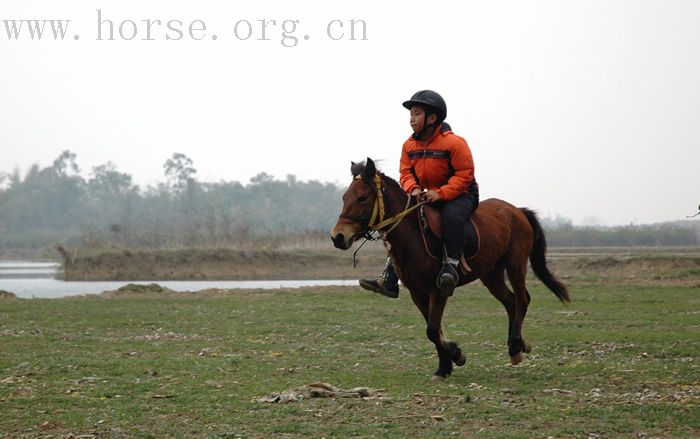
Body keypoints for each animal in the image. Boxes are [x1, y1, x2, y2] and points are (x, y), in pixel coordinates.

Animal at [330, 159, 568, 382]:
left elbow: (433, 330)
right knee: (511, 302)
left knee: (522, 299)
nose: (338, 237)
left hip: (515, 264)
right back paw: (516, 347)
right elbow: (434, 330)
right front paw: (447, 364)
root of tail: (517, 211)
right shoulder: (417, 293)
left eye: (362, 198)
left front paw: (454, 356)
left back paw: (516, 344)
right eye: (344, 197)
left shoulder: (439, 290)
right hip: (491, 274)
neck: (414, 235)